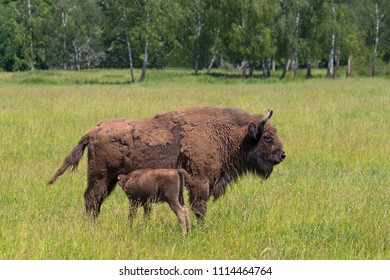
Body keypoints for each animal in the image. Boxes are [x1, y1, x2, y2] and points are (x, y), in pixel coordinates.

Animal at [49, 106, 286, 220]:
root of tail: (93, 130)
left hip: (110, 180)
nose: (282, 155)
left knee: (95, 201)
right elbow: (199, 207)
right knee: (92, 199)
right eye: (267, 137)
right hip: (101, 176)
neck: (226, 133)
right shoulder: (199, 181)